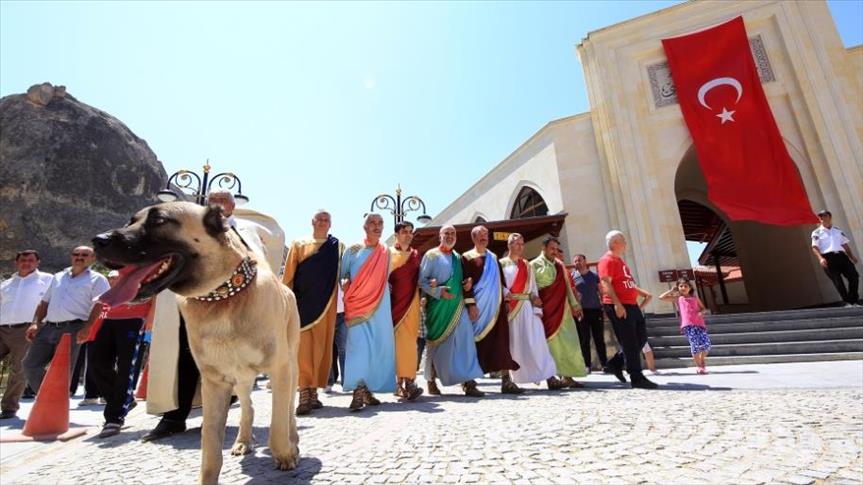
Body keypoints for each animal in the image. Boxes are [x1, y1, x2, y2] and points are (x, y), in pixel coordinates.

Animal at [92, 201, 300, 484]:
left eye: (160, 220)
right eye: (130, 221)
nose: (98, 240)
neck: (221, 297)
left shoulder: (279, 369)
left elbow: (278, 425)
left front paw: (286, 453)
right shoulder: (215, 382)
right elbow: (210, 447)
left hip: (290, 366)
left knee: (288, 409)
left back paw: (293, 440)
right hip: (241, 379)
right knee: (248, 406)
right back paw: (243, 440)